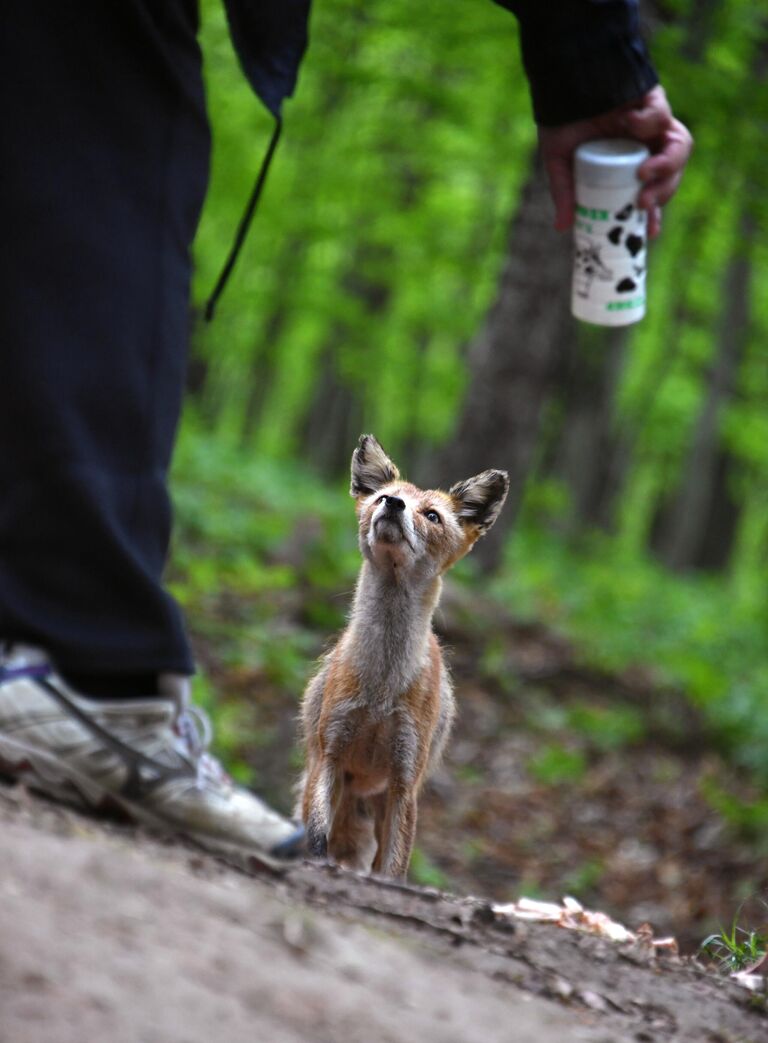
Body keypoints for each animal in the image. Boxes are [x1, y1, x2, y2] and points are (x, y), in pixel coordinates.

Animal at [296, 433, 507, 880]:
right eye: (383, 497)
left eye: (433, 515)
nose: (393, 505)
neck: (381, 688)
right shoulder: (331, 754)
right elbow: (318, 839)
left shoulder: (403, 780)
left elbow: (392, 869)